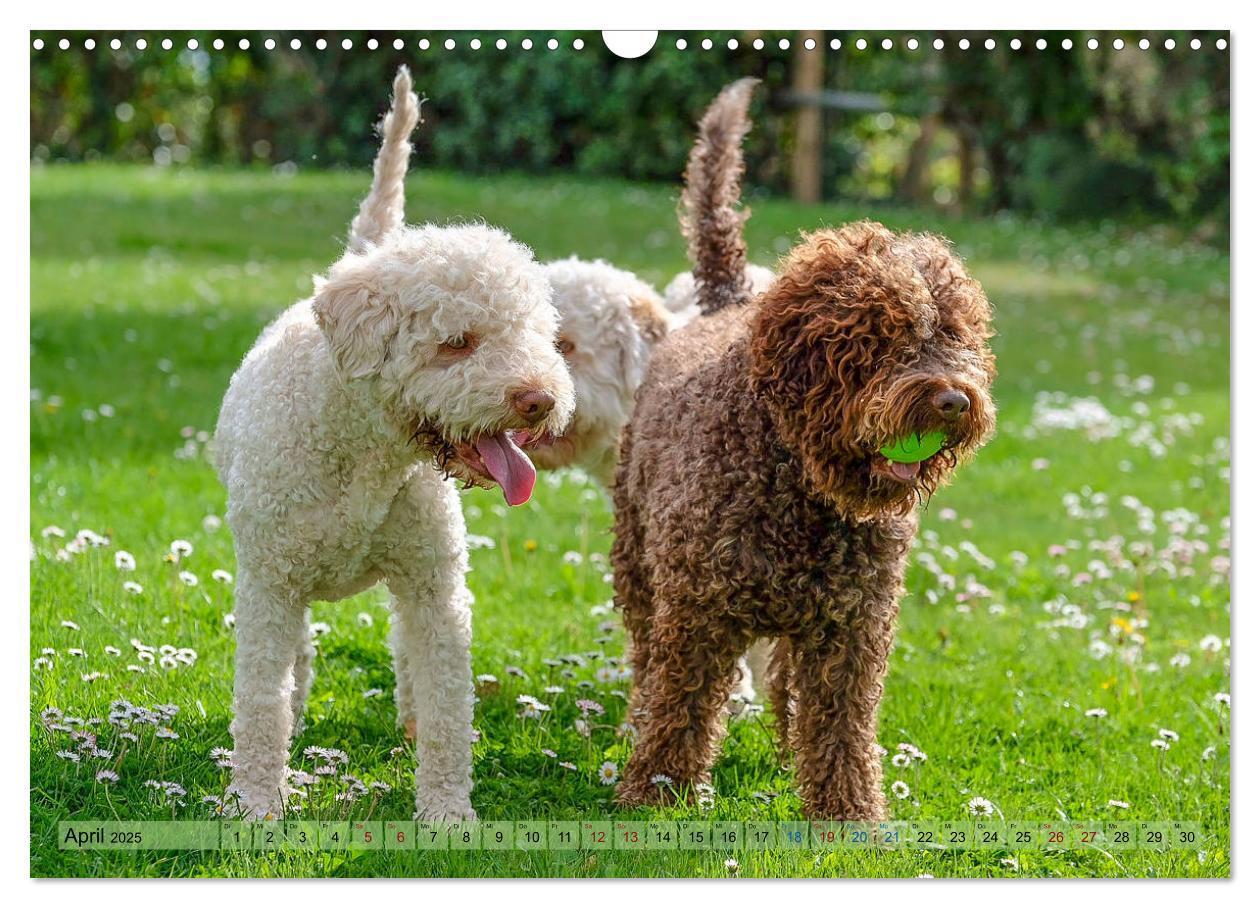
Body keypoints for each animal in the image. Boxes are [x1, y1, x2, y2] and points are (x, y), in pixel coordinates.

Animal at [215, 68, 572, 821]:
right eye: (457, 341)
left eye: (534, 333)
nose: (540, 399)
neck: (361, 450)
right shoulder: (270, 584)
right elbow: (260, 701)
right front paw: (256, 802)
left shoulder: (434, 588)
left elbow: (446, 707)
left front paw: (446, 813)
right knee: (294, 664)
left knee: (407, 661)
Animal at [609, 81, 992, 816]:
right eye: (882, 336)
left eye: (957, 335)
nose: (954, 401)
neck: (797, 484)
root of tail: (726, 301)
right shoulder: (698, 613)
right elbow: (681, 707)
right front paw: (657, 794)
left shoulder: (851, 628)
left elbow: (841, 726)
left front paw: (848, 815)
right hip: (636, 559)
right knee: (647, 660)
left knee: (788, 681)